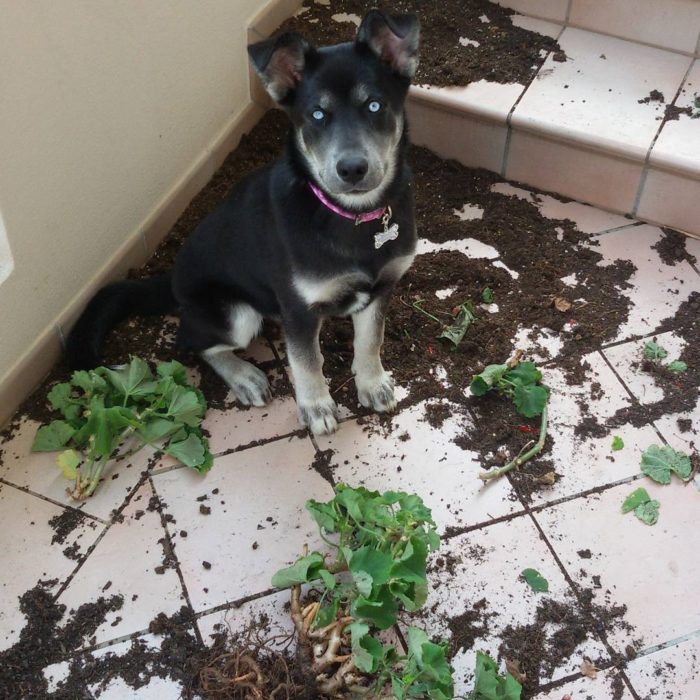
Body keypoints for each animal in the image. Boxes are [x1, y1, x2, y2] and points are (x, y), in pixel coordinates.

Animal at [68, 10, 422, 434]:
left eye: (374, 105)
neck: (351, 216)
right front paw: (316, 407)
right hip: (234, 313)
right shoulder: (299, 310)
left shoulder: (382, 286)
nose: (352, 169)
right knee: (191, 341)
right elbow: (307, 363)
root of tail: (172, 280)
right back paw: (244, 376)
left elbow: (370, 341)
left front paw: (372, 383)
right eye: (317, 115)